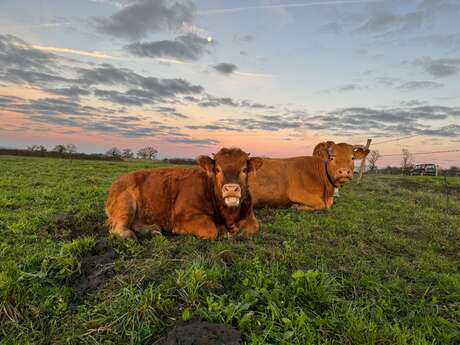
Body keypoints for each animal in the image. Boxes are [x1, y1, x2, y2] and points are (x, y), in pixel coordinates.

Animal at [104, 147, 262, 239]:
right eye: (217, 169)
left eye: (244, 169)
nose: (231, 189)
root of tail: (118, 181)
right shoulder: (184, 216)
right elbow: (211, 230)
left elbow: (254, 227)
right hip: (126, 203)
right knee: (118, 227)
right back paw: (130, 235)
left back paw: (153, 230)